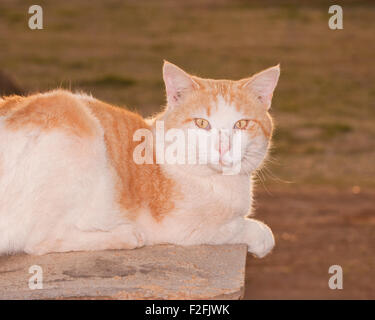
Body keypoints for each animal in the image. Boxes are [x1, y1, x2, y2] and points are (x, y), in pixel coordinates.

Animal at [0, 61, 280, 258]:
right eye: (202, 123)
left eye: (241, 124)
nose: (223, 147)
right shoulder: (183, 227)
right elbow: (238, 227)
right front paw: (261, 236)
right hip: (74, 118)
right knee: (40, 241)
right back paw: (125, 236)